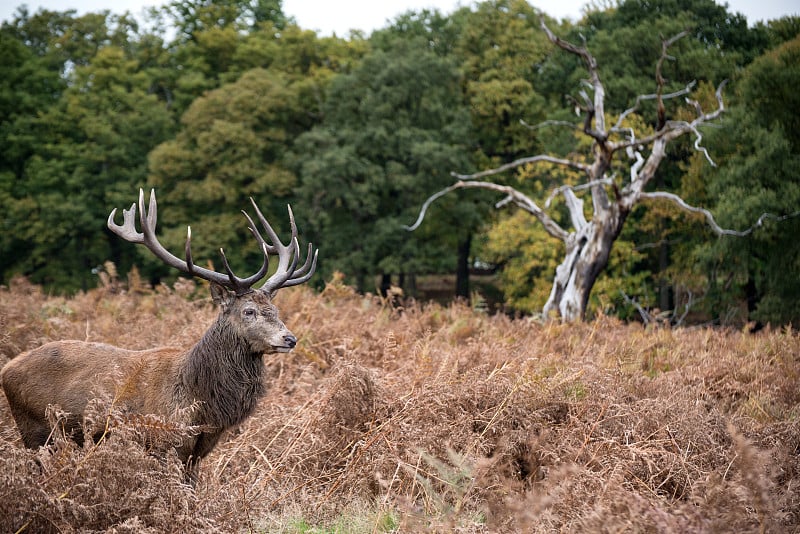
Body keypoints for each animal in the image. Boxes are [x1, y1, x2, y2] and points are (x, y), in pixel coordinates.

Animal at [0, 189, 318, 486]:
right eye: (249, 311)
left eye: (275, 310)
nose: (289, 339)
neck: (201, 402)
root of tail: (7, 368)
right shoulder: (163, 443)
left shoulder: (197, 452)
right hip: (35, 430)